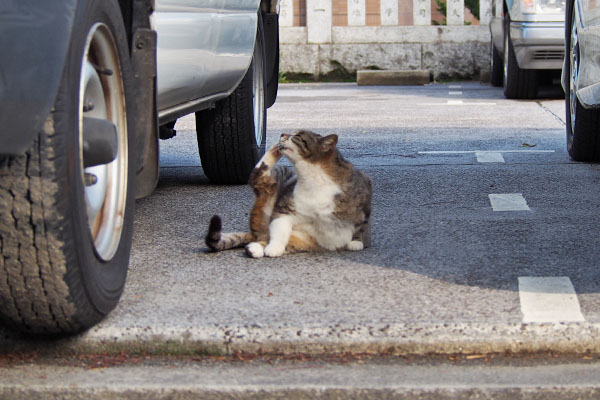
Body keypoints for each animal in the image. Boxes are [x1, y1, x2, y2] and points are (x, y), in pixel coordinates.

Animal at [207, 130, 376, 258]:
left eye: (298, 136)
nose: (283, 133)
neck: (313, 178)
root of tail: (257, 233)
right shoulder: (284, 210)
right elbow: (279, 230)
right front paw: (273, 248)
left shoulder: (365, 186)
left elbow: (362, 224)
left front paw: (356, 242)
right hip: (279, 176)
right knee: (258, 175)